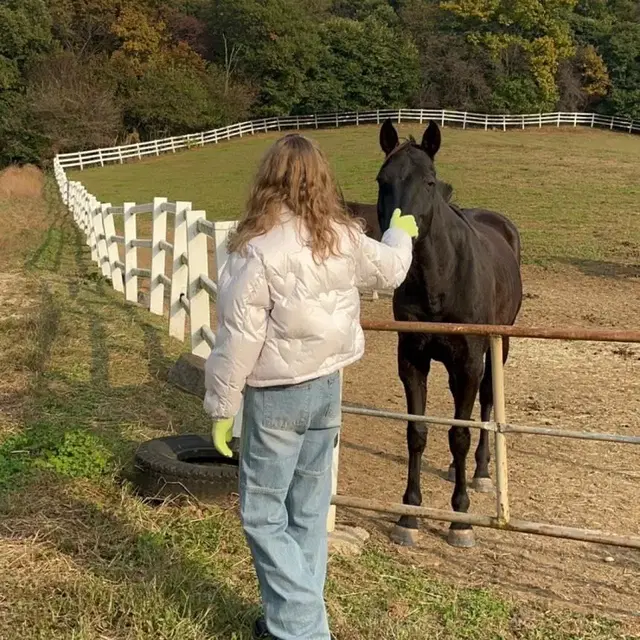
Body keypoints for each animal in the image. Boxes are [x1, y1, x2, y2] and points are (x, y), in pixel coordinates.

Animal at [378, 119, 524, 544]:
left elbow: (459, 434)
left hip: (499, 344)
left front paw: (460, 518)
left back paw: (481, 472)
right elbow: (417, 432)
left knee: (487, 401)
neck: (440, 281)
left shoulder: (469, 362)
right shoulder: (412, 360)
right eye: (382, 180)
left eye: (429, 181)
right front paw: (409, 513)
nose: (401, 235)